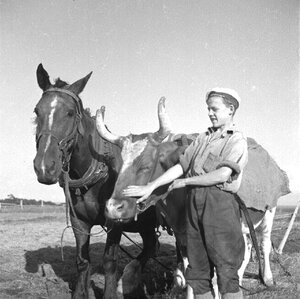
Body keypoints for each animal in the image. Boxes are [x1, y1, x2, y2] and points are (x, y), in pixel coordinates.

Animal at [33, 64, 172, 298]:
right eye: (36, 111)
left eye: (70, 113)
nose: (44, 166)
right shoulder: (79, 221)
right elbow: (82, 261)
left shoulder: (115, 220)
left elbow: (109, 262)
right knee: (150, 245)